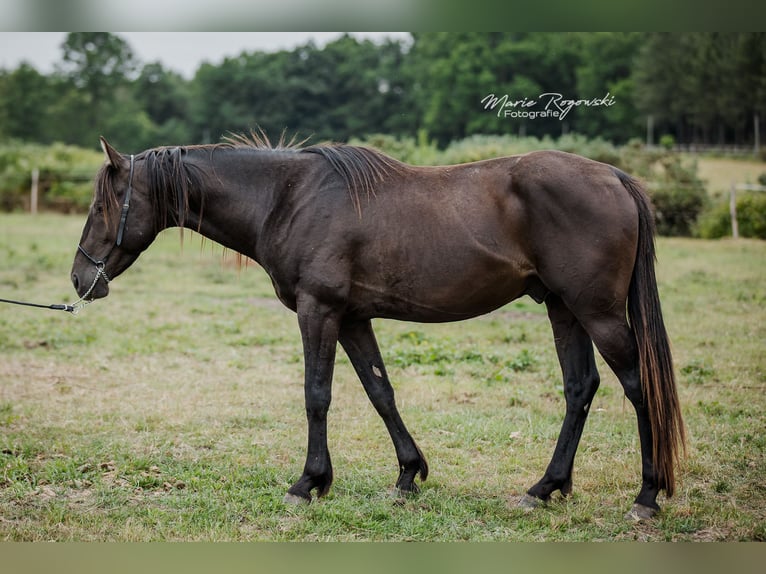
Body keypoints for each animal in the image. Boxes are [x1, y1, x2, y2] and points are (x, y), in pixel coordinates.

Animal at [71, 133, 686, 520]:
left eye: (103, 207)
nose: (81, 279)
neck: (286, 198)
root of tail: (613, 176)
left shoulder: (319, 312)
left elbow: (317, 395)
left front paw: (308, 483)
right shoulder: (353, 319)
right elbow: (379, 391)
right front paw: (409, 475)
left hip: (597, 313)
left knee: (638, 388)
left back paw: (646, 496)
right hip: (563, 309)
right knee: (580, 389)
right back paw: (545, 488)